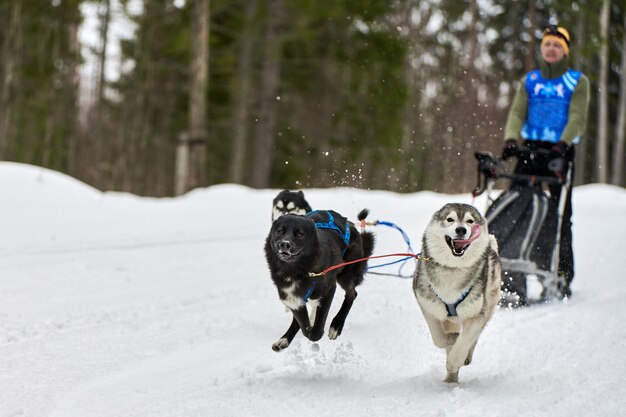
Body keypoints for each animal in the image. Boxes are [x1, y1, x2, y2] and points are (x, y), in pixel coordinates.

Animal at [262, 208, 372, 352]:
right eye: (280, 231)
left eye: (300, 234)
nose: (285, 244)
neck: (295, 269)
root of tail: (349, 223)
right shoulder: (291, 298)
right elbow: (302, 324)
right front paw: (302, 329)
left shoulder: (328, 291)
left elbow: (315, 332)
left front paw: (314, 330)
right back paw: (284, 340)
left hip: (346, 275)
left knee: (352, 294)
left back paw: (336, 326)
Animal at [412, 203, 500, 382]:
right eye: (450, 219)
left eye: (470, 221)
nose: (461, 230)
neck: (452, 269)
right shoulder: (427, 306)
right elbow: (439, 338)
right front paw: (452, 339)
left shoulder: (475, 314)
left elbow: (465, 340)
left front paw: (455, 360)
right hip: (450, 318)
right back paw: (450, 379)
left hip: (487, 306)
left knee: (474, 336)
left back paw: (463, 358)